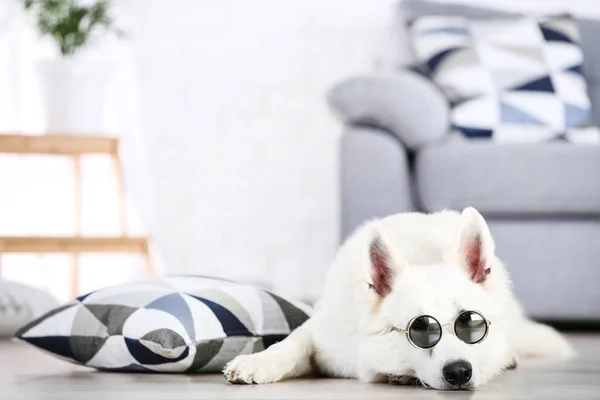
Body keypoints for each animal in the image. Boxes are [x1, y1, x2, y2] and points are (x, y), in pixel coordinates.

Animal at [223, 208, 576, 390]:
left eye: (471, 324)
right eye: (421, 329)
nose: (460, 372)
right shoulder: (324, 335)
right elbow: (291, 345)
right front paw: (257, 361)